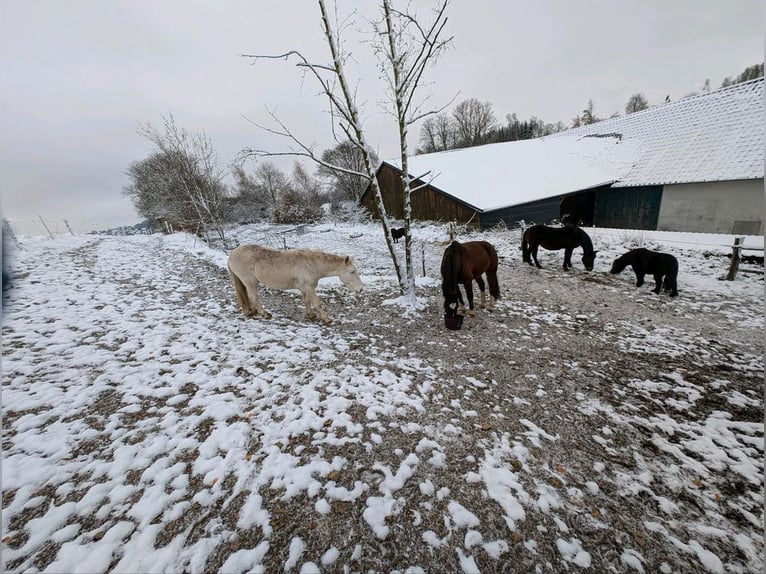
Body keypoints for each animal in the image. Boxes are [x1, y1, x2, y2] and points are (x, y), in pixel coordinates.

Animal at [227, 245, 363, 325]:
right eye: (352, 272)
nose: (360, 289)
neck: (311, 264)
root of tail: (232, 255)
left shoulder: (305, 288)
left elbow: (306, 301)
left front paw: (311, 315)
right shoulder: (309, 288)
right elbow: (317, 303)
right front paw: (327, 319)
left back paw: (253, 311)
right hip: (250, 282)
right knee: (254, 297)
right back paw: (265, 314)